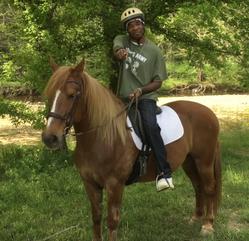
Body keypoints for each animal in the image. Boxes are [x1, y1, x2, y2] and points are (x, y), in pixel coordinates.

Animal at [41, 59, 222, 241]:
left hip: (204, 161)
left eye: (72, 95)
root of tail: (209, 112)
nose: (50, 138)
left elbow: (112, 221)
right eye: (50, 95)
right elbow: (96, 217)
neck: (103, 138)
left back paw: (207, 225)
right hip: (189, 161)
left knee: (209, 187)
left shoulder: (115, 184)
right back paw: (196, 218)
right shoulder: (90, 183)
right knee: (198, 186)